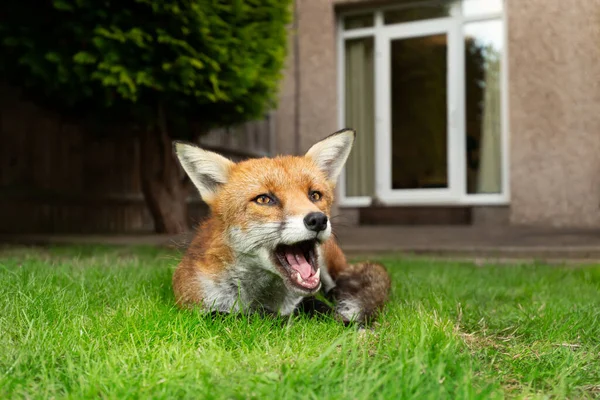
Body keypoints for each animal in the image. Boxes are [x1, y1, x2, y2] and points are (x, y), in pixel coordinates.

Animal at [171, 130, 392, 324]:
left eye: (315, 195)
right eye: (264, 199)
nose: (318, 220)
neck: (265, 299)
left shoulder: (306, 298)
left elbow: (321, 308)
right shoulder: (197, 308)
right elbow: (232, 316)